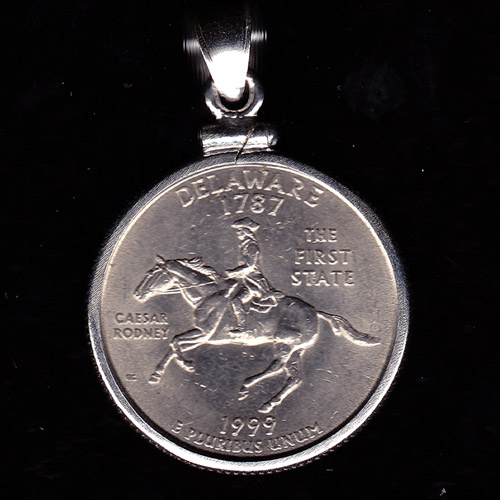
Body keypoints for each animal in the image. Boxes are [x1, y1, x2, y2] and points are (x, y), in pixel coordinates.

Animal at [134, 256, 379, 413]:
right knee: (294, 377)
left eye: (151, 274)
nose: (137, 294)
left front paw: (187, 365)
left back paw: (247, 385)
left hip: (285, 345)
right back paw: (268, 403)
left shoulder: (204, 335)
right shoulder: (204, 337)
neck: (208, 295)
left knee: (278, 367)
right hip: (296, 349)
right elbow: (173, 345)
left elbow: (175, 341)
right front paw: (157, 374)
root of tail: (316, 312)